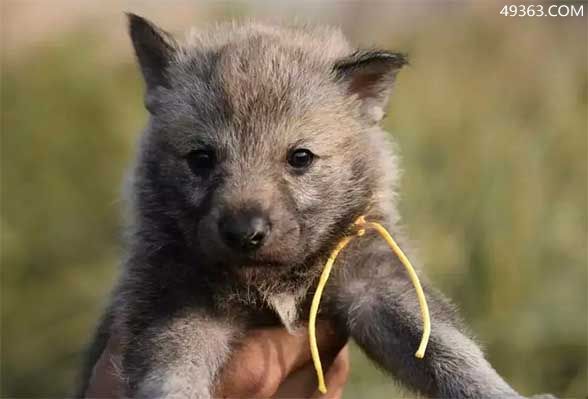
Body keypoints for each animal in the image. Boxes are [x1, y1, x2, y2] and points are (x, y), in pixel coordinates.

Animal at [78, 14, 552, 398]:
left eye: (300, 158)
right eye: (201, 159)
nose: (244, 233)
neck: (272, 282)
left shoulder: (377, 284)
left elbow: (447, 348)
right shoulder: (173, 306)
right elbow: (173, 372)